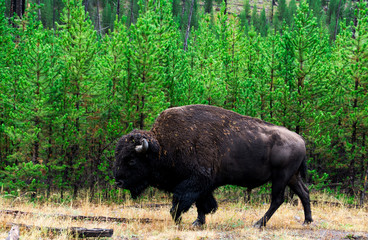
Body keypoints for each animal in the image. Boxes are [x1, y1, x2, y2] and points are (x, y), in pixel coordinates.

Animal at [113, 104, 312, 227]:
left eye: (131, 160)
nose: (118, 182)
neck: (162, 146)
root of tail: (300, 139)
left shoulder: (195, 181)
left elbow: (182, 201)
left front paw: (179, 220)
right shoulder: (204, 185)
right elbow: (202, 203)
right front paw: (198, 222)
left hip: (281, 177)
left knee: (277, 199)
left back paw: (258, 224)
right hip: (292, 177)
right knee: (304, 193)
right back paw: (307, 221)